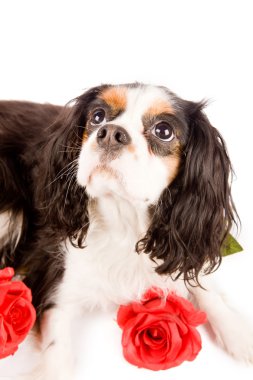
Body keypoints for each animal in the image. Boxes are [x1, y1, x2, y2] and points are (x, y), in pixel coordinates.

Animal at [0, 84, 252, 380]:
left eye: (163, 130)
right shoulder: (53, 280)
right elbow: (58, 358)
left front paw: (237, 331)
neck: (124, 221)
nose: (110, 133)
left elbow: (203, 285)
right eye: (97, 116)